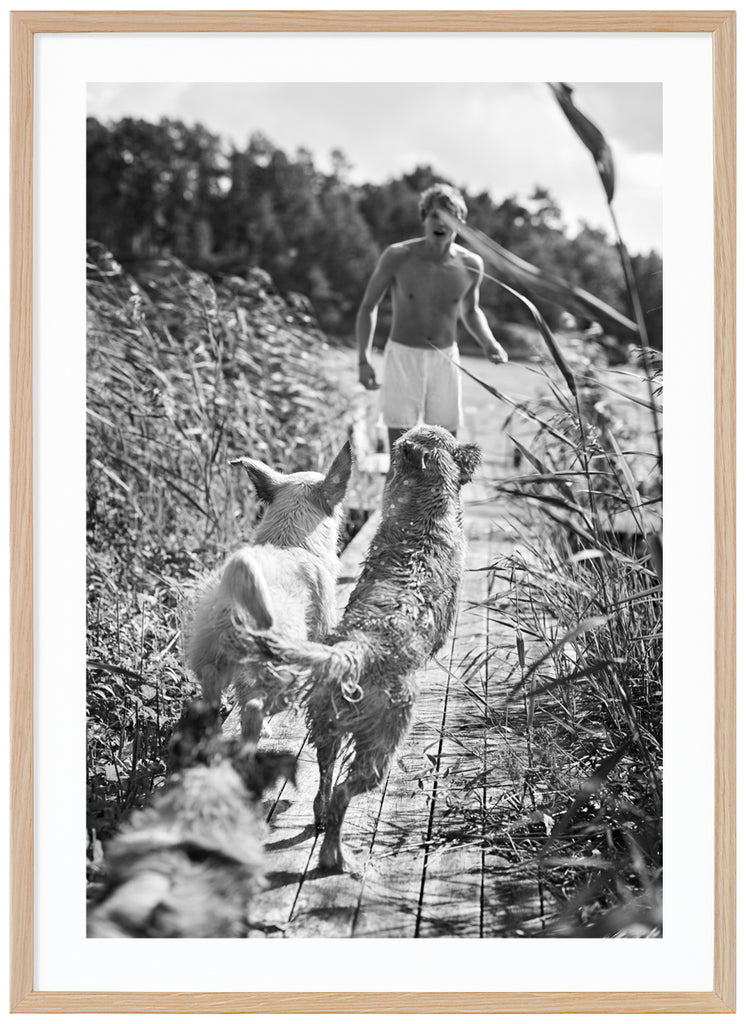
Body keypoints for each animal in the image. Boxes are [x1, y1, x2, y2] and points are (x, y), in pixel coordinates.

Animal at [185, 444, 350, 741]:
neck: (289, 542)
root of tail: (237, 609)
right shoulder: (323, 630)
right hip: (285, 672)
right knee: (254, 707)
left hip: (212, 662)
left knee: (213, 699)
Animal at [249, 423, 477, 872]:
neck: (421, 518)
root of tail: (356, 650)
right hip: (381, 744)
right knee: (342, 792)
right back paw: (335, 856)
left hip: (325, 729)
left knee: (324, 779)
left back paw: (320, 820)